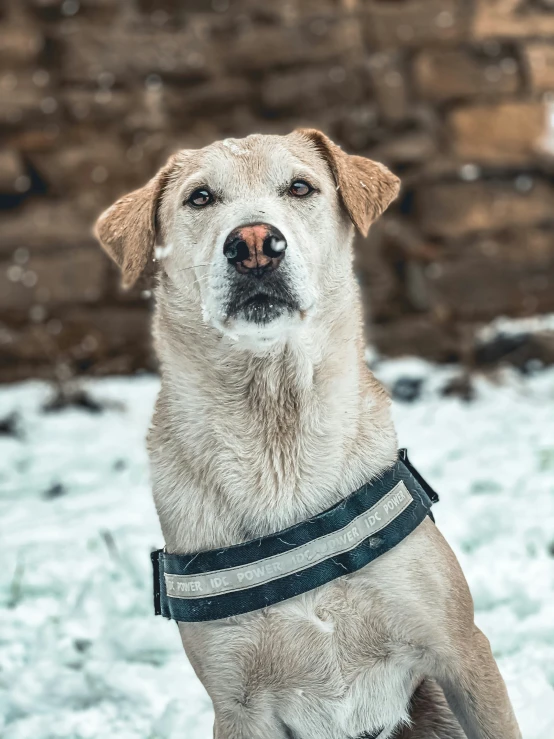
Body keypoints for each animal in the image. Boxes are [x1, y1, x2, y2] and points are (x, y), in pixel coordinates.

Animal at [95, 132, 516, 739]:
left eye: (299, 187)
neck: (277, 431)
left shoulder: (461, 651)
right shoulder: (238, 704)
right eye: (200, 197)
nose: (254, 243)